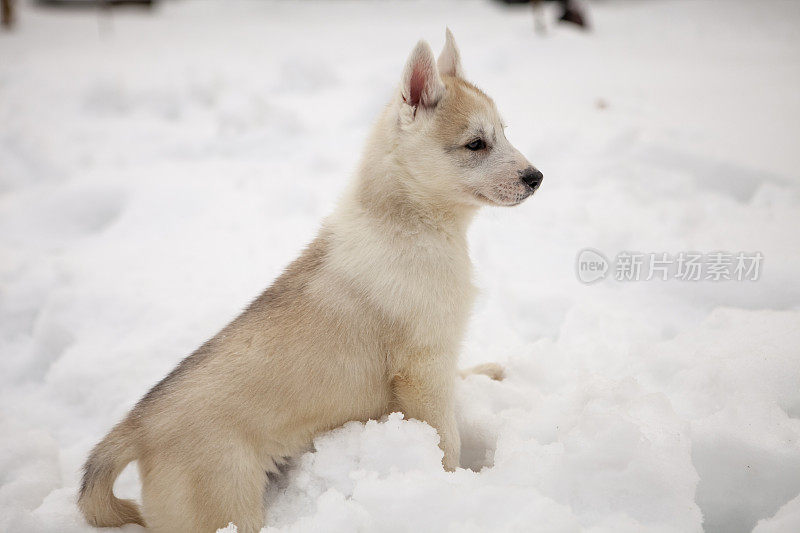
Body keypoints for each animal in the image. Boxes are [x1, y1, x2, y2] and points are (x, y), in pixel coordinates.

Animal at [78, 30, 544, 532]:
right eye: (476, 144)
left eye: (504, 133)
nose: (536, 177)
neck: (410, 219)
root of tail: (136, 425)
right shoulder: (422, 367)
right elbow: (446, 440)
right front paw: (455, 488)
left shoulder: (437, 358)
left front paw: (485, 373)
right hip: (227, 507)